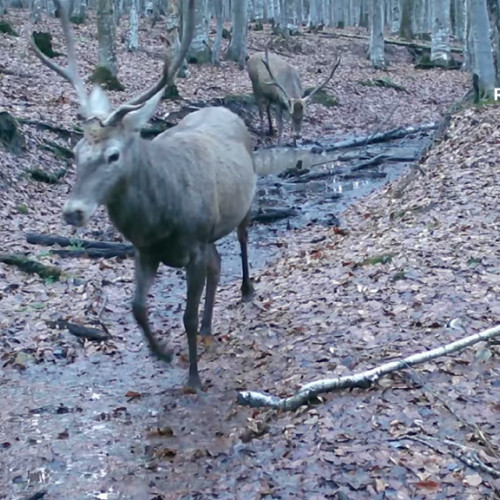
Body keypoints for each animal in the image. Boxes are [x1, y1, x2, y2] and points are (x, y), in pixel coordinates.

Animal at [30, 0, 258, 390]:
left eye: (113, 155)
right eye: (75, 151)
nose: (74, 212)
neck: (160, 220)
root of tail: (226, 110)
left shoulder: (194, 245)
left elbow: (186, 316)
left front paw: (193, 379)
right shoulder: (145, 250)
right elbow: (137, 308)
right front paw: (161, 351)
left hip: (244, 202)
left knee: (242, 241)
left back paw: (245, 290)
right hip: (211, 233)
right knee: (217, 264)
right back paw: (210, 328)